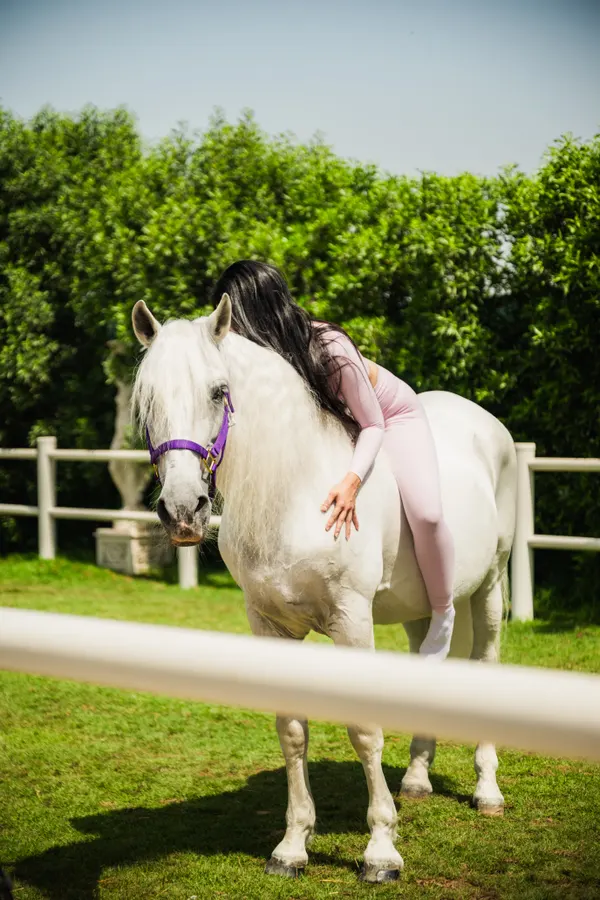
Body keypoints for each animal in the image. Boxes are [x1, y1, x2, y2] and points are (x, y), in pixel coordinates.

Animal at [131, 294, 517, 883]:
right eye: (145, 399)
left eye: (218, 391)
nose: (182, 511)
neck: (295, 490)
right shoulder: (269, 627)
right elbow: (292, 729)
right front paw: (292, 847)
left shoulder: (351, 622)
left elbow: (363, 730)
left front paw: (380, 852)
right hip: (422, 610)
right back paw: (417, 780)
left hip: (490, 589)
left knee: (487, 664)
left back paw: (487, 790)